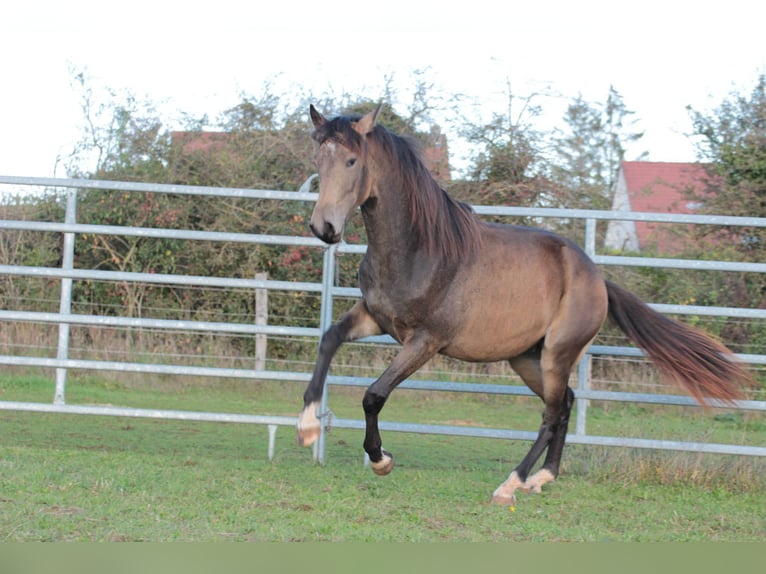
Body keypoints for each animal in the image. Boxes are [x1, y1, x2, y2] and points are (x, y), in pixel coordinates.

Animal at [296, 103, 752, 504]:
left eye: (352, 160)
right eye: (318, 157)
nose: (324, 227)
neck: (419, 247)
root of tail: (596, 277)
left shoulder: (425, 340)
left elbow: (374, 395)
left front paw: (381, 459)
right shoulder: (376, 318)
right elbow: (329, 340)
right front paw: (307, 426)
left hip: (557, 353)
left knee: (550, 415)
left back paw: (511, 484)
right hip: (527, 358)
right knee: (564, 404)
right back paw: (542, 478)